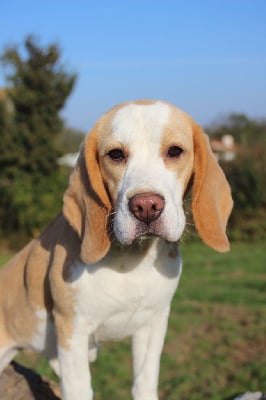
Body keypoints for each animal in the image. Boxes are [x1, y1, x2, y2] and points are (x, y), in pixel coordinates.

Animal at [0, 101, 233, 400]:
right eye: (115, 155)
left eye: (174, 151)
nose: (146, 206)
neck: (132, 262)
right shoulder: (72, 332)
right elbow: (80, 389)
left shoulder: (153, 324)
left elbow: (144, 382)